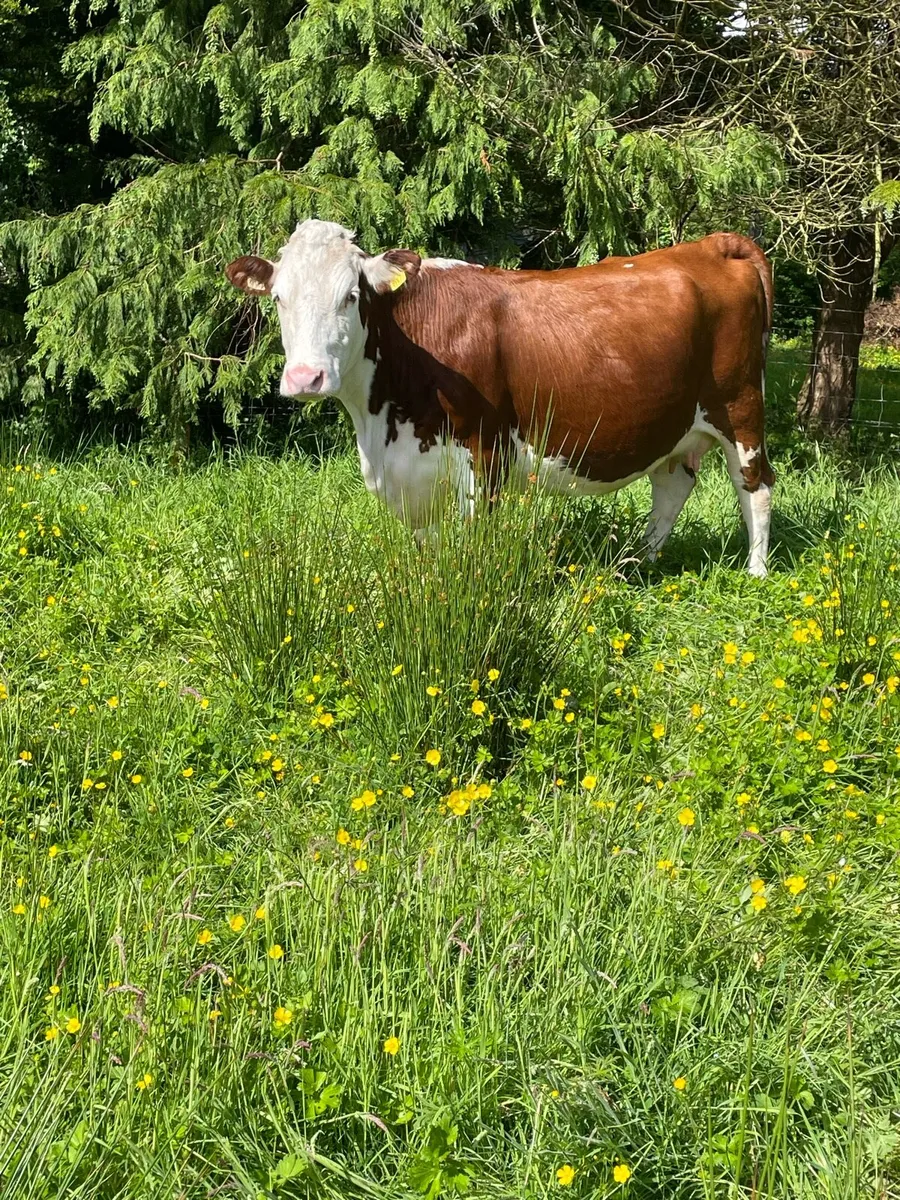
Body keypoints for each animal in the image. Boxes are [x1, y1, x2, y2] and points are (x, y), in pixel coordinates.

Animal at [226, 219, 774, 576]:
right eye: (279, 298)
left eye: (351, 296)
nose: (305, 378)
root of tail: (713, 244)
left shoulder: (486, 449)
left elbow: (474, 539)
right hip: (674, 424)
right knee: (672, 486)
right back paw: (637, 565)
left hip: (739, 407)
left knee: (755, 486)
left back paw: (755, 572)